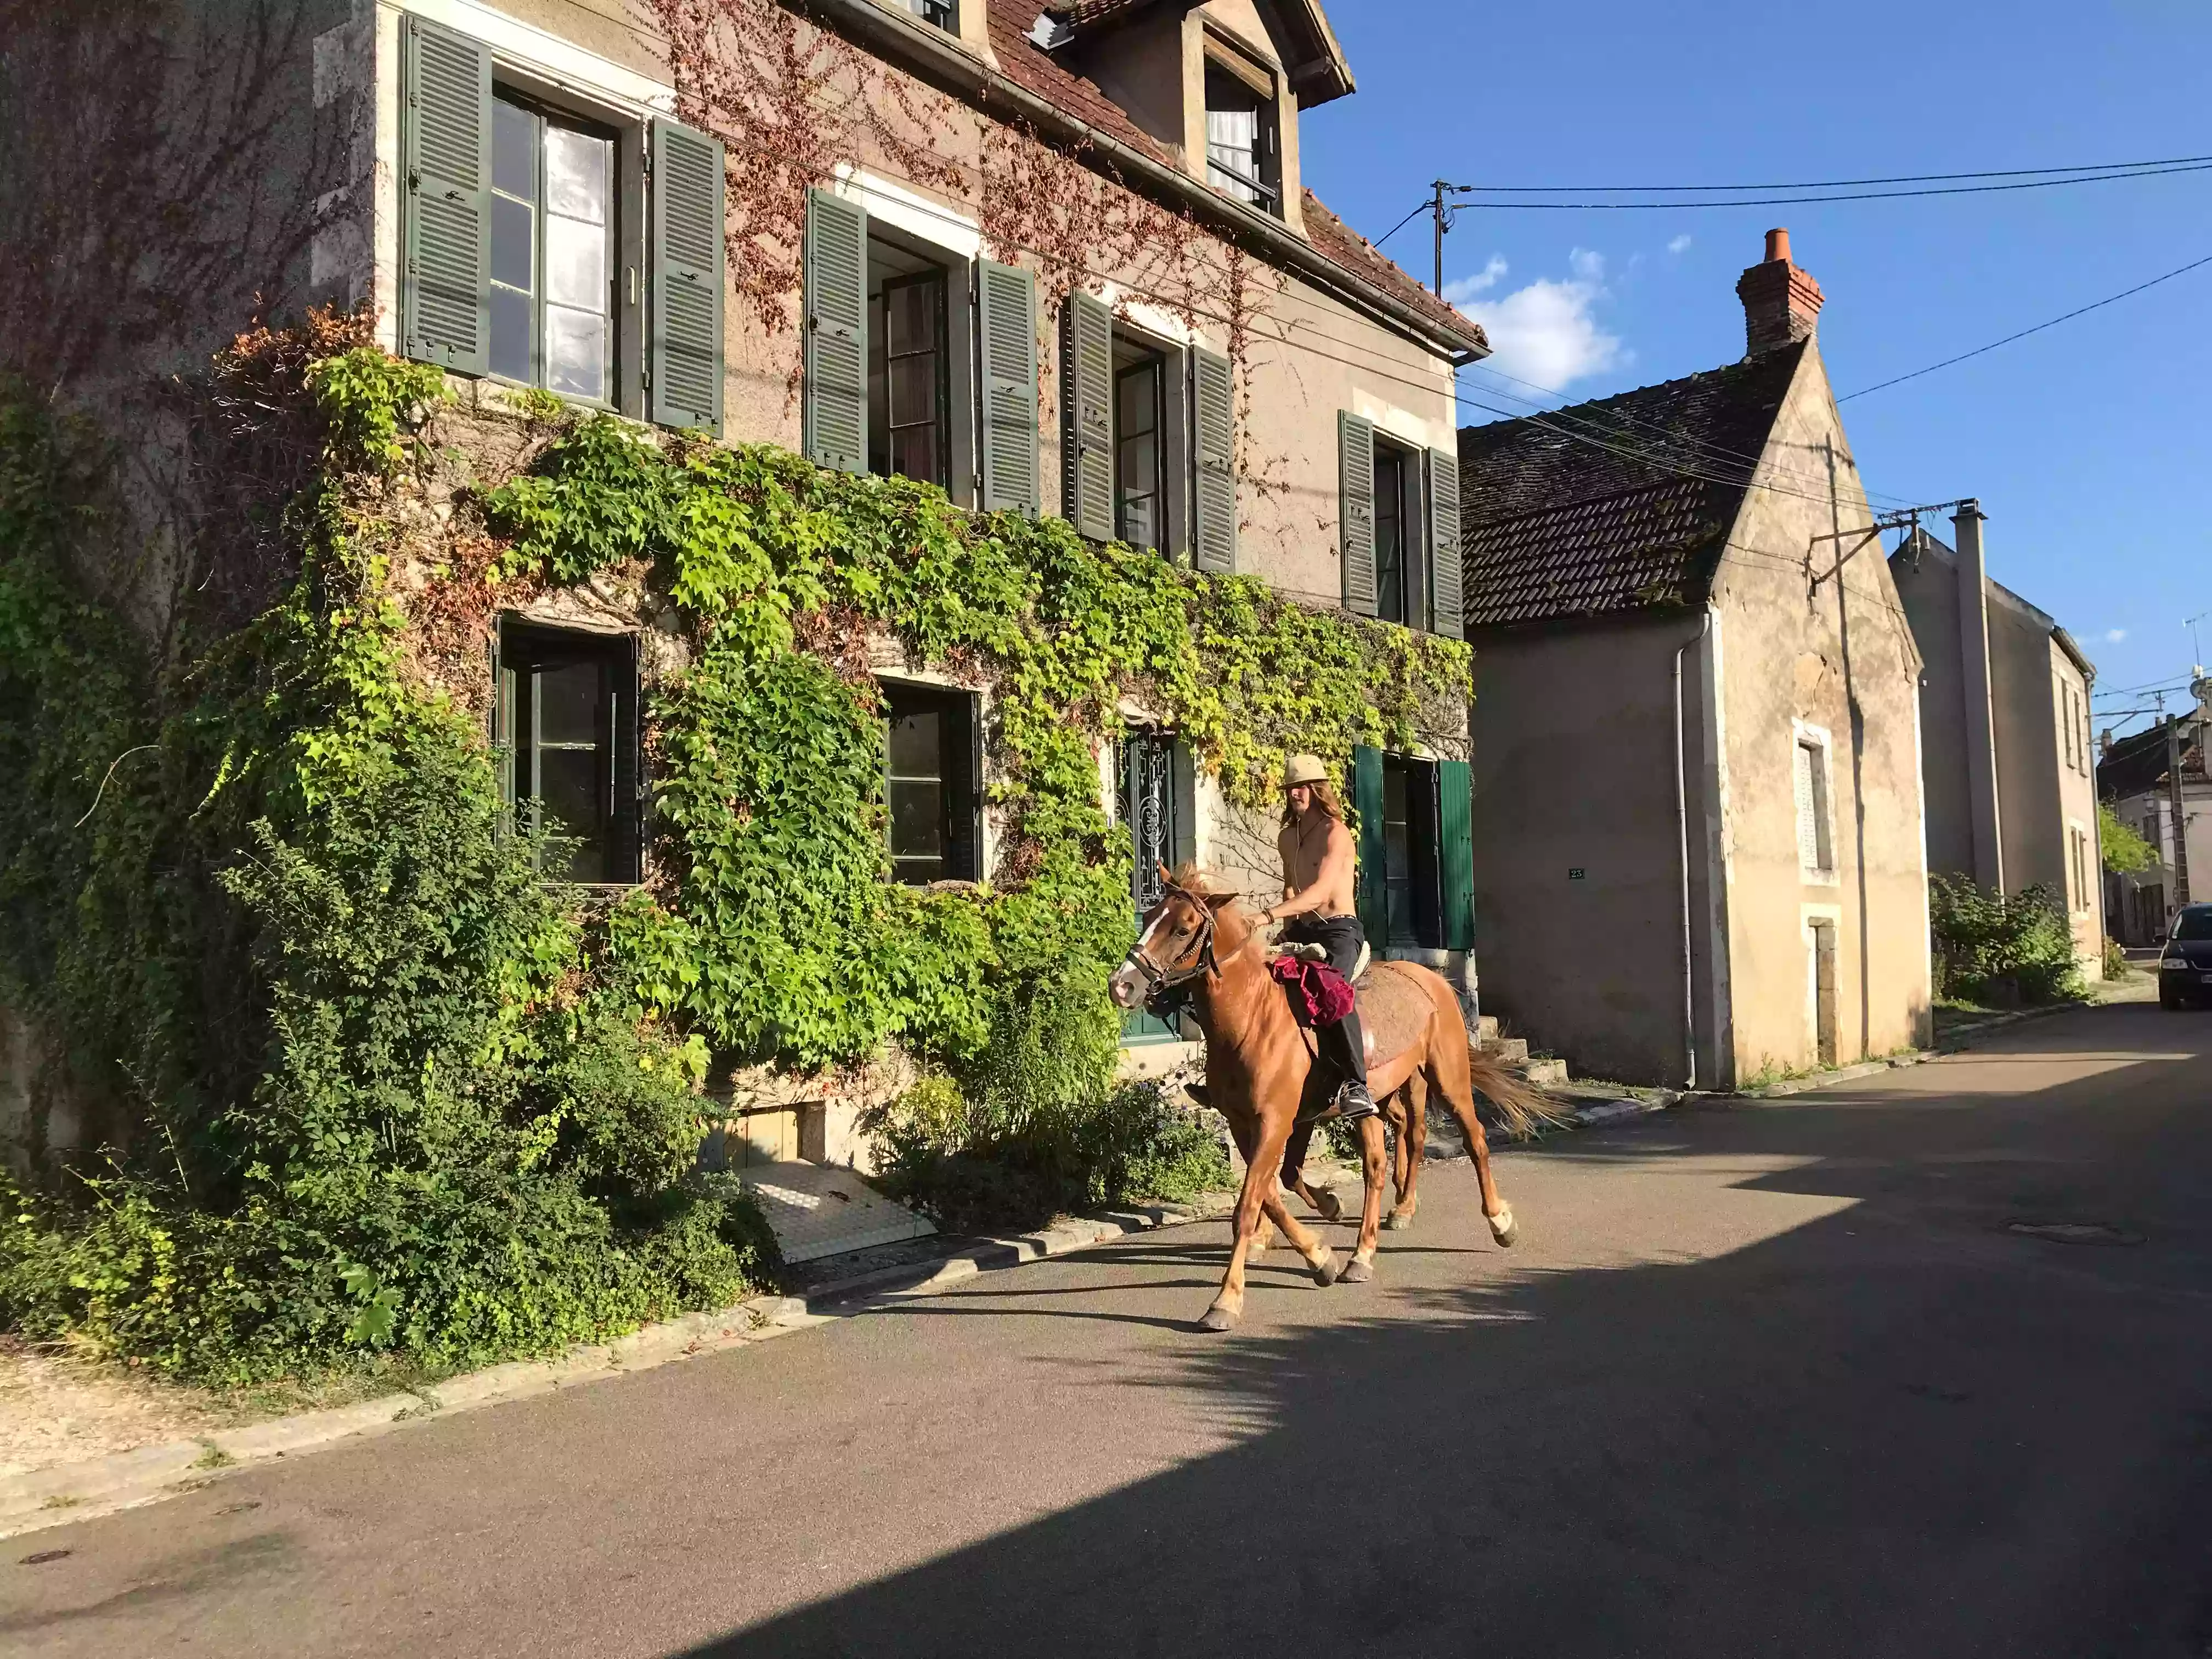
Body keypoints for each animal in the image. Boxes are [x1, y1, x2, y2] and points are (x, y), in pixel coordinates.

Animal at [1106, 876, 1557, 1336]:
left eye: (1182, 929)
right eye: (1149, 915)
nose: (1121, 986)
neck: (1253, 1019)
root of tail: (1432, 981)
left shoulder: (1274, 1122)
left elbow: (1249, 1205)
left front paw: (1226, 1301)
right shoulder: (1247, 1124)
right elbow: (1275, 1189)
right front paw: (1320, 1251)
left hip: (1447, 1079)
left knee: (1472, 1140)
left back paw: (1498, 1222)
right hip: (1378, 1100)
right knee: (1384, 1159)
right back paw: (1369, 1245)